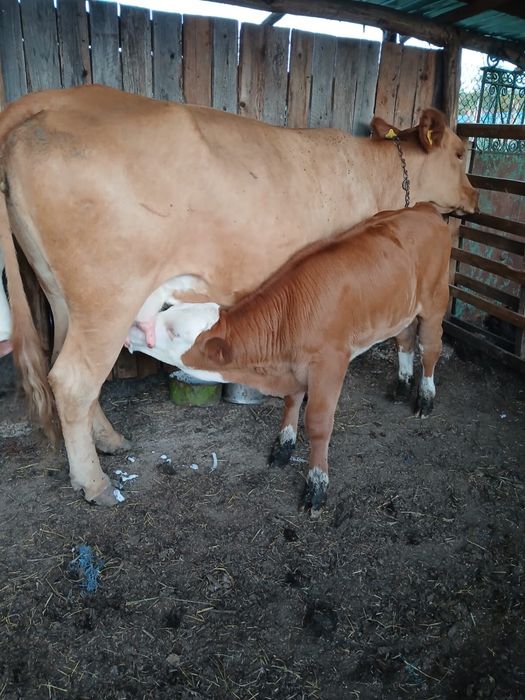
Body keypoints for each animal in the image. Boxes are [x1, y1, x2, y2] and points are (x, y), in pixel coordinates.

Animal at [126, 203, 451, 516]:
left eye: (174, 331)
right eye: (166, 311)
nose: (131, 329)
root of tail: (423, 208)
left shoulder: (330, 363)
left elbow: (318, 424)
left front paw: (316, 486)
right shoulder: (292, 367)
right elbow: (291, 402)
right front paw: (283, 447)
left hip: (435, 302)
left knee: (430, 349)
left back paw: (425, 399)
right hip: (400, 310)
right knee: (405, 340)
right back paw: (401, 385)